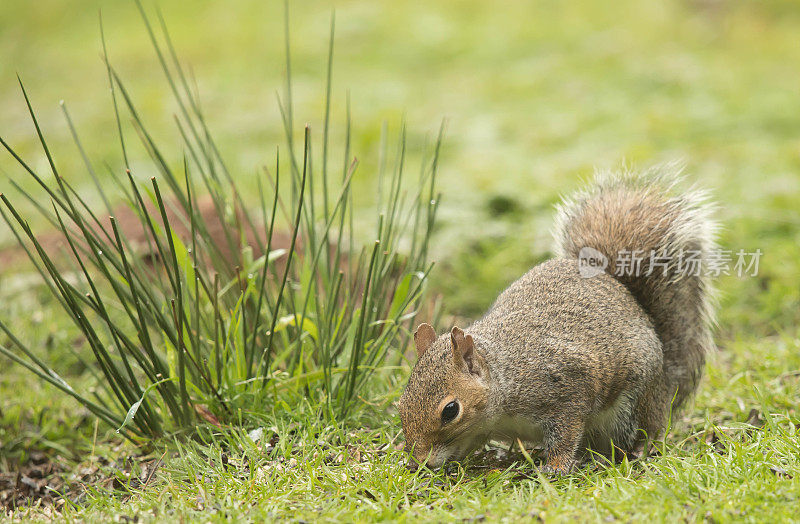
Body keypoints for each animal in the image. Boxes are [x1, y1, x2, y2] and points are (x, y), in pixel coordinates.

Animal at [400, 168, 720, 474]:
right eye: (402, 403)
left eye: (450, 411)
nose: (420, 461)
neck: (503, 380)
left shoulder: (566, 388)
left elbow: (566, 433)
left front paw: (555, 466)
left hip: (634, 402)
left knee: (644, 429)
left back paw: (637, 449)